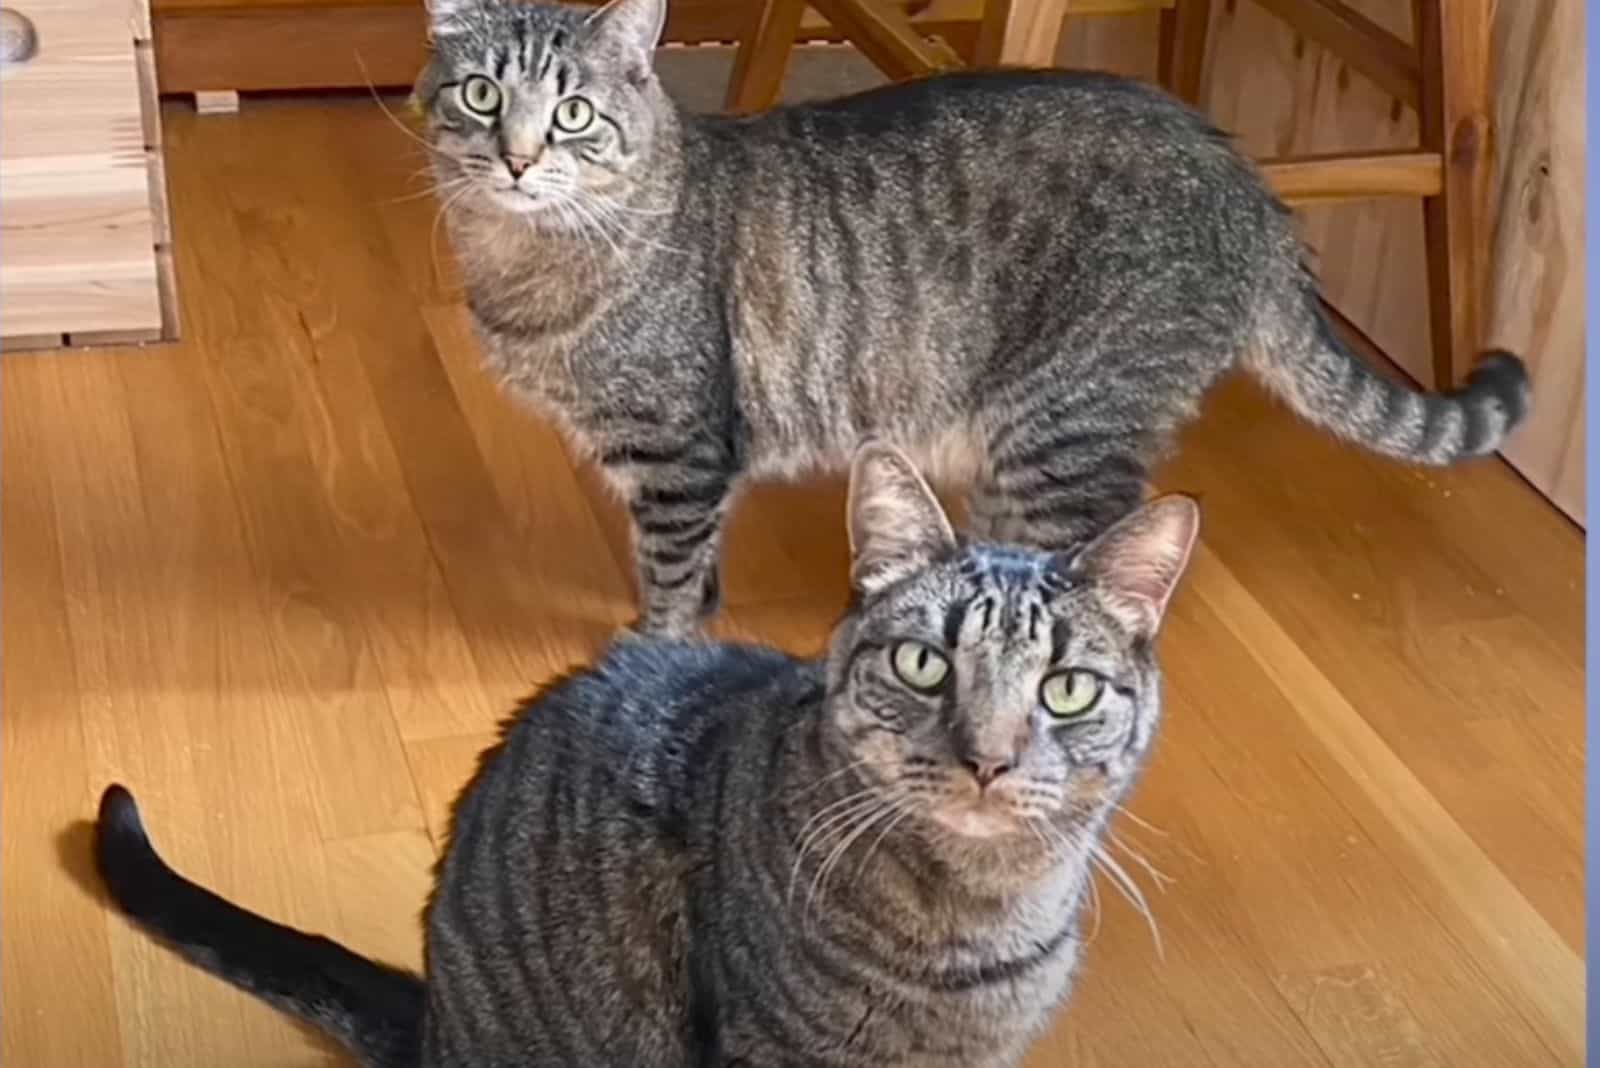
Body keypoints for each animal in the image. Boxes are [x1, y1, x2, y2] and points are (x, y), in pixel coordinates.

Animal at [412, 0, 1523, 639]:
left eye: (572, 113)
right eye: (481, 96)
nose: (516, 159)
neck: (526, 253)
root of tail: (1252, 189)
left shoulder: (679, 450)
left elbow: (673, 576)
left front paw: (649, 648)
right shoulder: (689, 461)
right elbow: (699, 570)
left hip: (1062, 431)